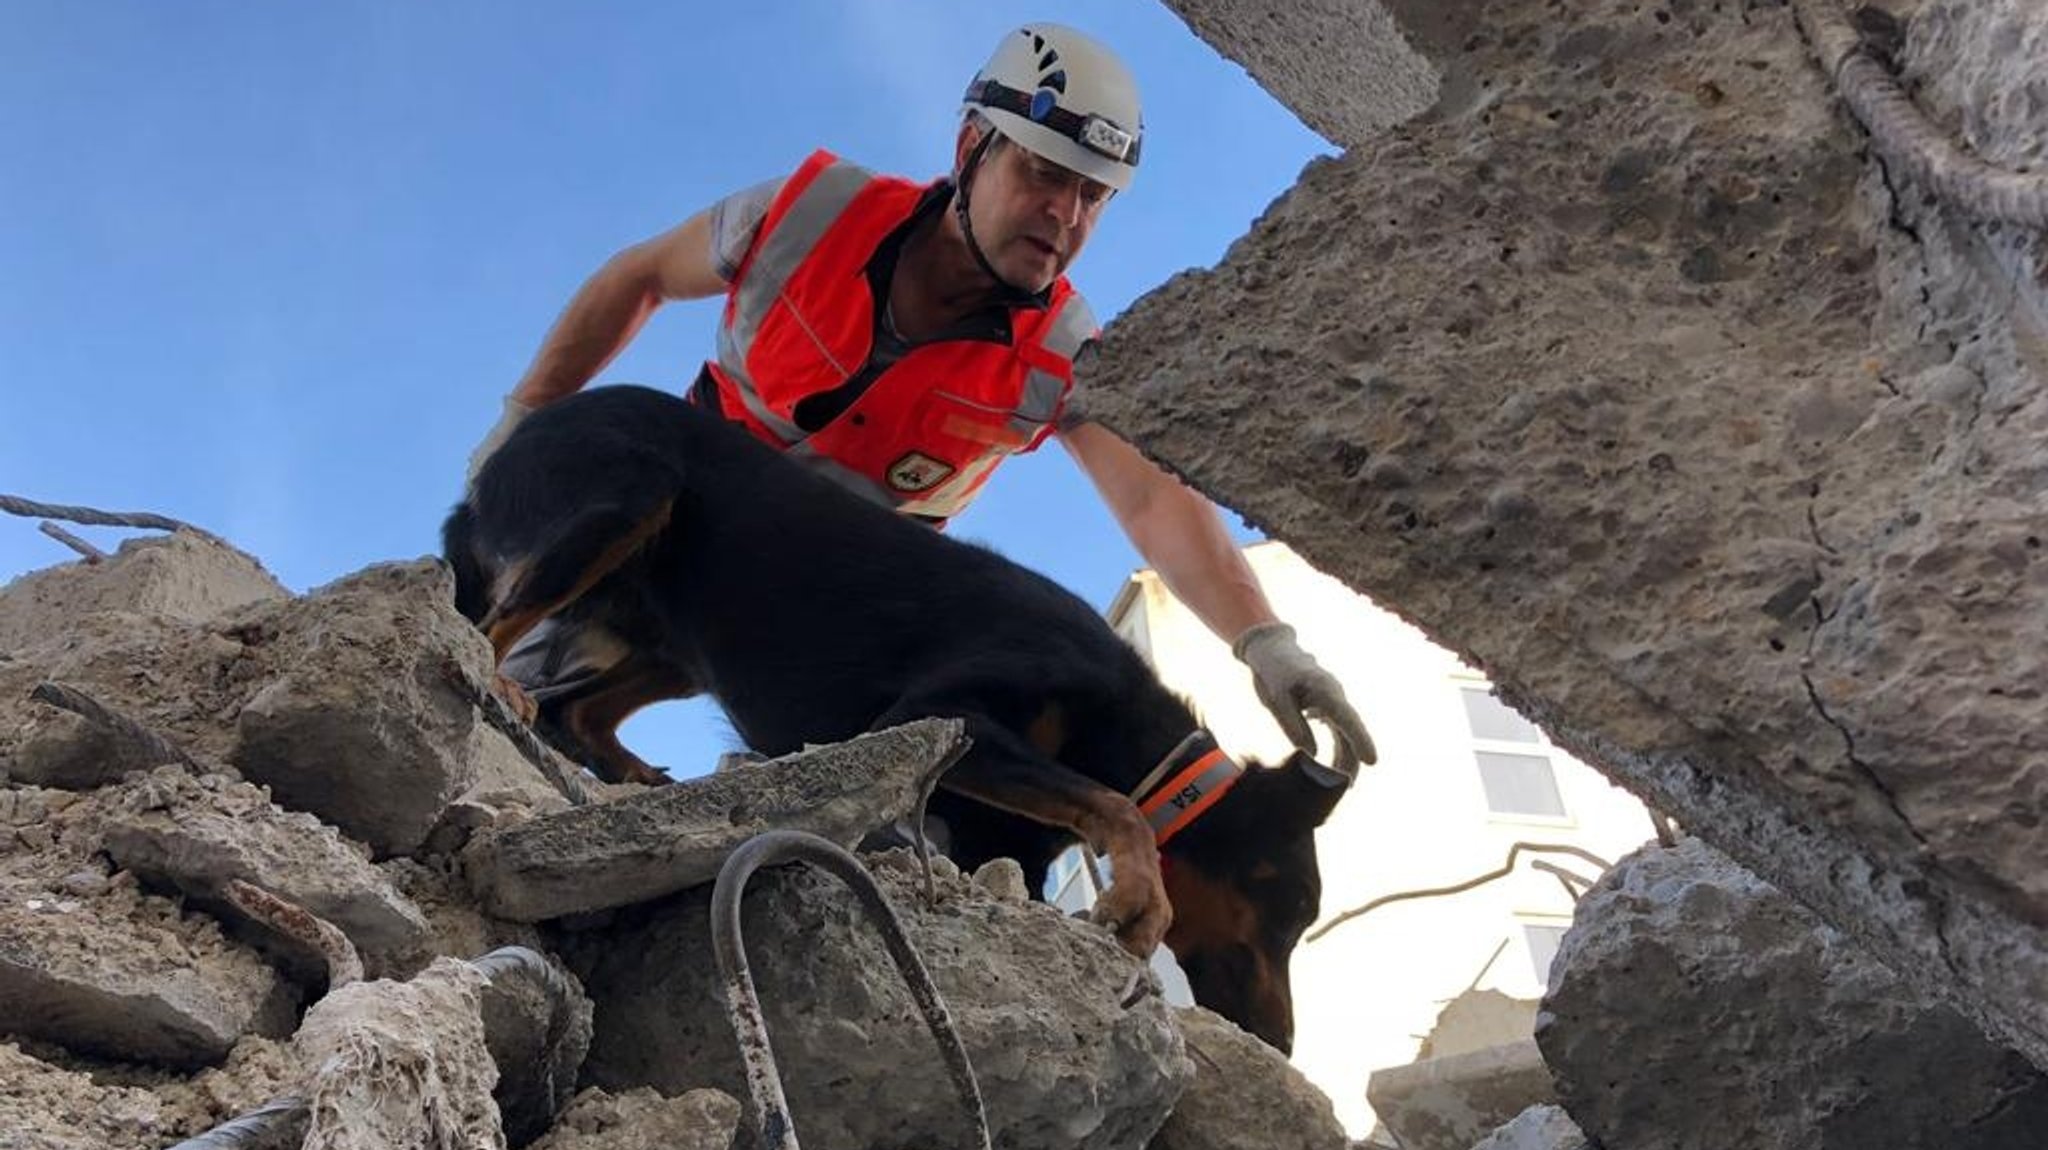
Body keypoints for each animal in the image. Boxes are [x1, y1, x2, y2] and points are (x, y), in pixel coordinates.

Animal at [440, 384, 1351, 1047]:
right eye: (1290, 906)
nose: (1278, 1042)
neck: (1124, 723)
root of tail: (504, 454)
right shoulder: (941, 716)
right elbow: (1119, 809)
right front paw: (1138, 896)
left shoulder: (997, 834)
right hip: (625, 496)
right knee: (488, 630)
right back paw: (507, 686)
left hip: (671, 638)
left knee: (578, 712)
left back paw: (639, 774)